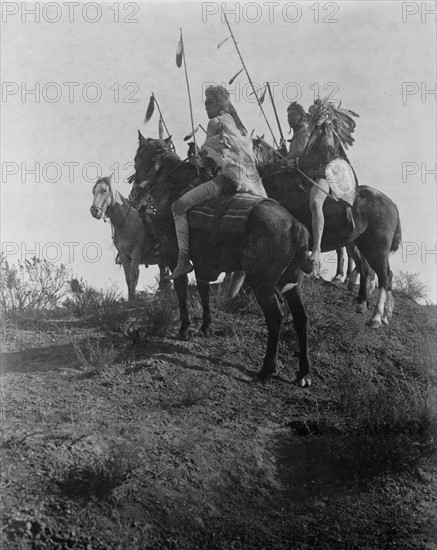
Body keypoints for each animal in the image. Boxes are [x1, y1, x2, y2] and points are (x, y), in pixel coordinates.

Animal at [132, 134, 314, 388]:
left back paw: (267, 369)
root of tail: (296, 226)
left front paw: (185, 329)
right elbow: (203, 290)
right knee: (301, 318)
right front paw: (206, 326)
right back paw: (303, 373)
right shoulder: (201, 263)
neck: (174, 186)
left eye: (137, 157)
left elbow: (181, 288)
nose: (134, 194)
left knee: (276, 318)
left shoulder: (174, 257)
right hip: (292, 283)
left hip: (263, 285)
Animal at [252, 138, 402, 330]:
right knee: (371, 271)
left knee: (384, 276)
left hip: (377, 248)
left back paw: (376, 316)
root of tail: (392, 204)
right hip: (362, 245)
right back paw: (377, 310)